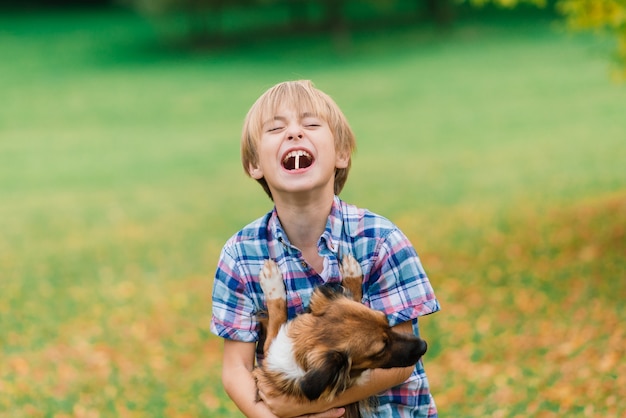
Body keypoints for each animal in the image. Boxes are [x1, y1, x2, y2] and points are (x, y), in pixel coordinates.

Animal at [251, 255, 426, 418]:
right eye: (381, 350)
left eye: (386, 320)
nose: (424, 346)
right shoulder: (269, 351)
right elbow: (277, 314)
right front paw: (272, 281)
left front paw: (351, 273)